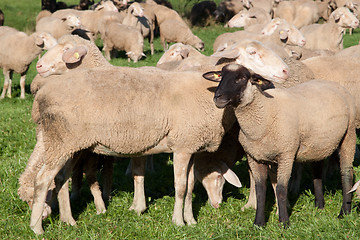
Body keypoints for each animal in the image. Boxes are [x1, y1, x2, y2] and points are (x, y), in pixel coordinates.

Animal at [204, 63, 356, 227]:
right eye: (220, 76)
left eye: (242, 78)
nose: (217, 97)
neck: (264, 113)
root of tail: (333, 84)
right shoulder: (254, 157)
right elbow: (260, 190)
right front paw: (258, 223)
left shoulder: (286, 154)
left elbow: (281, 189)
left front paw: (284, 222)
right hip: (318, 144)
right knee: (317, 171)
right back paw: (319, 205)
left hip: (349, 134)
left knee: (347, 173)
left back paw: (344, 212)